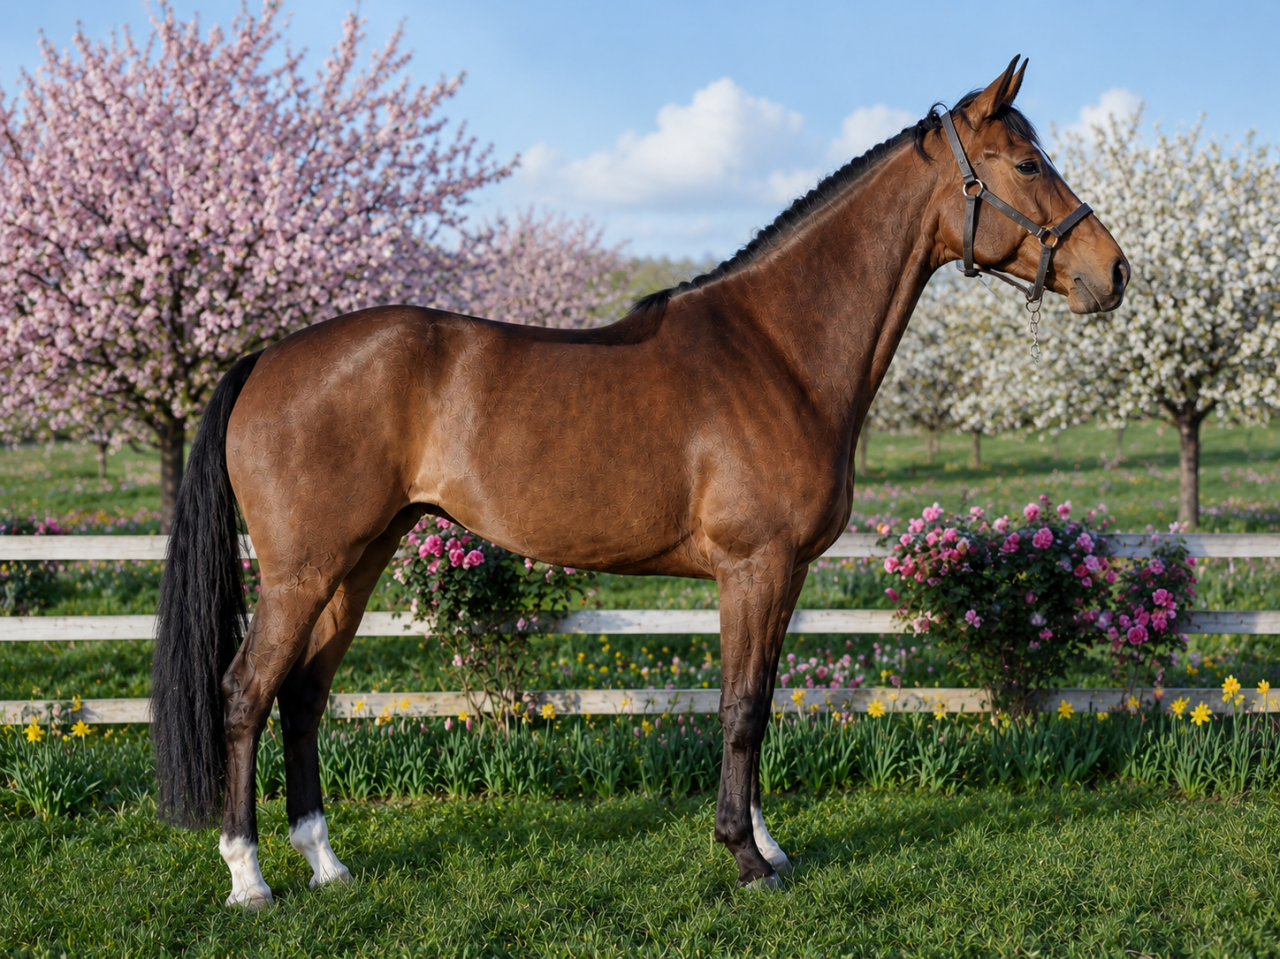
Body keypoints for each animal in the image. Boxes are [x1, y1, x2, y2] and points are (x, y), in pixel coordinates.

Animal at [152, 57, 1128, 907]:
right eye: (1028, 162)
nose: (1113, 271)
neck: (778, 349)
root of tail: (268, 358)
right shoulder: (752, 567)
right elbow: (740, 708)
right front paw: (746, 859)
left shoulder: (781, 575)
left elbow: (758, 698)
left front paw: (766, 841)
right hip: (302, 573)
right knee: (245, 693)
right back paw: (248, 877)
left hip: (356, 563)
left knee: (304, 695)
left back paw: (326, 862)